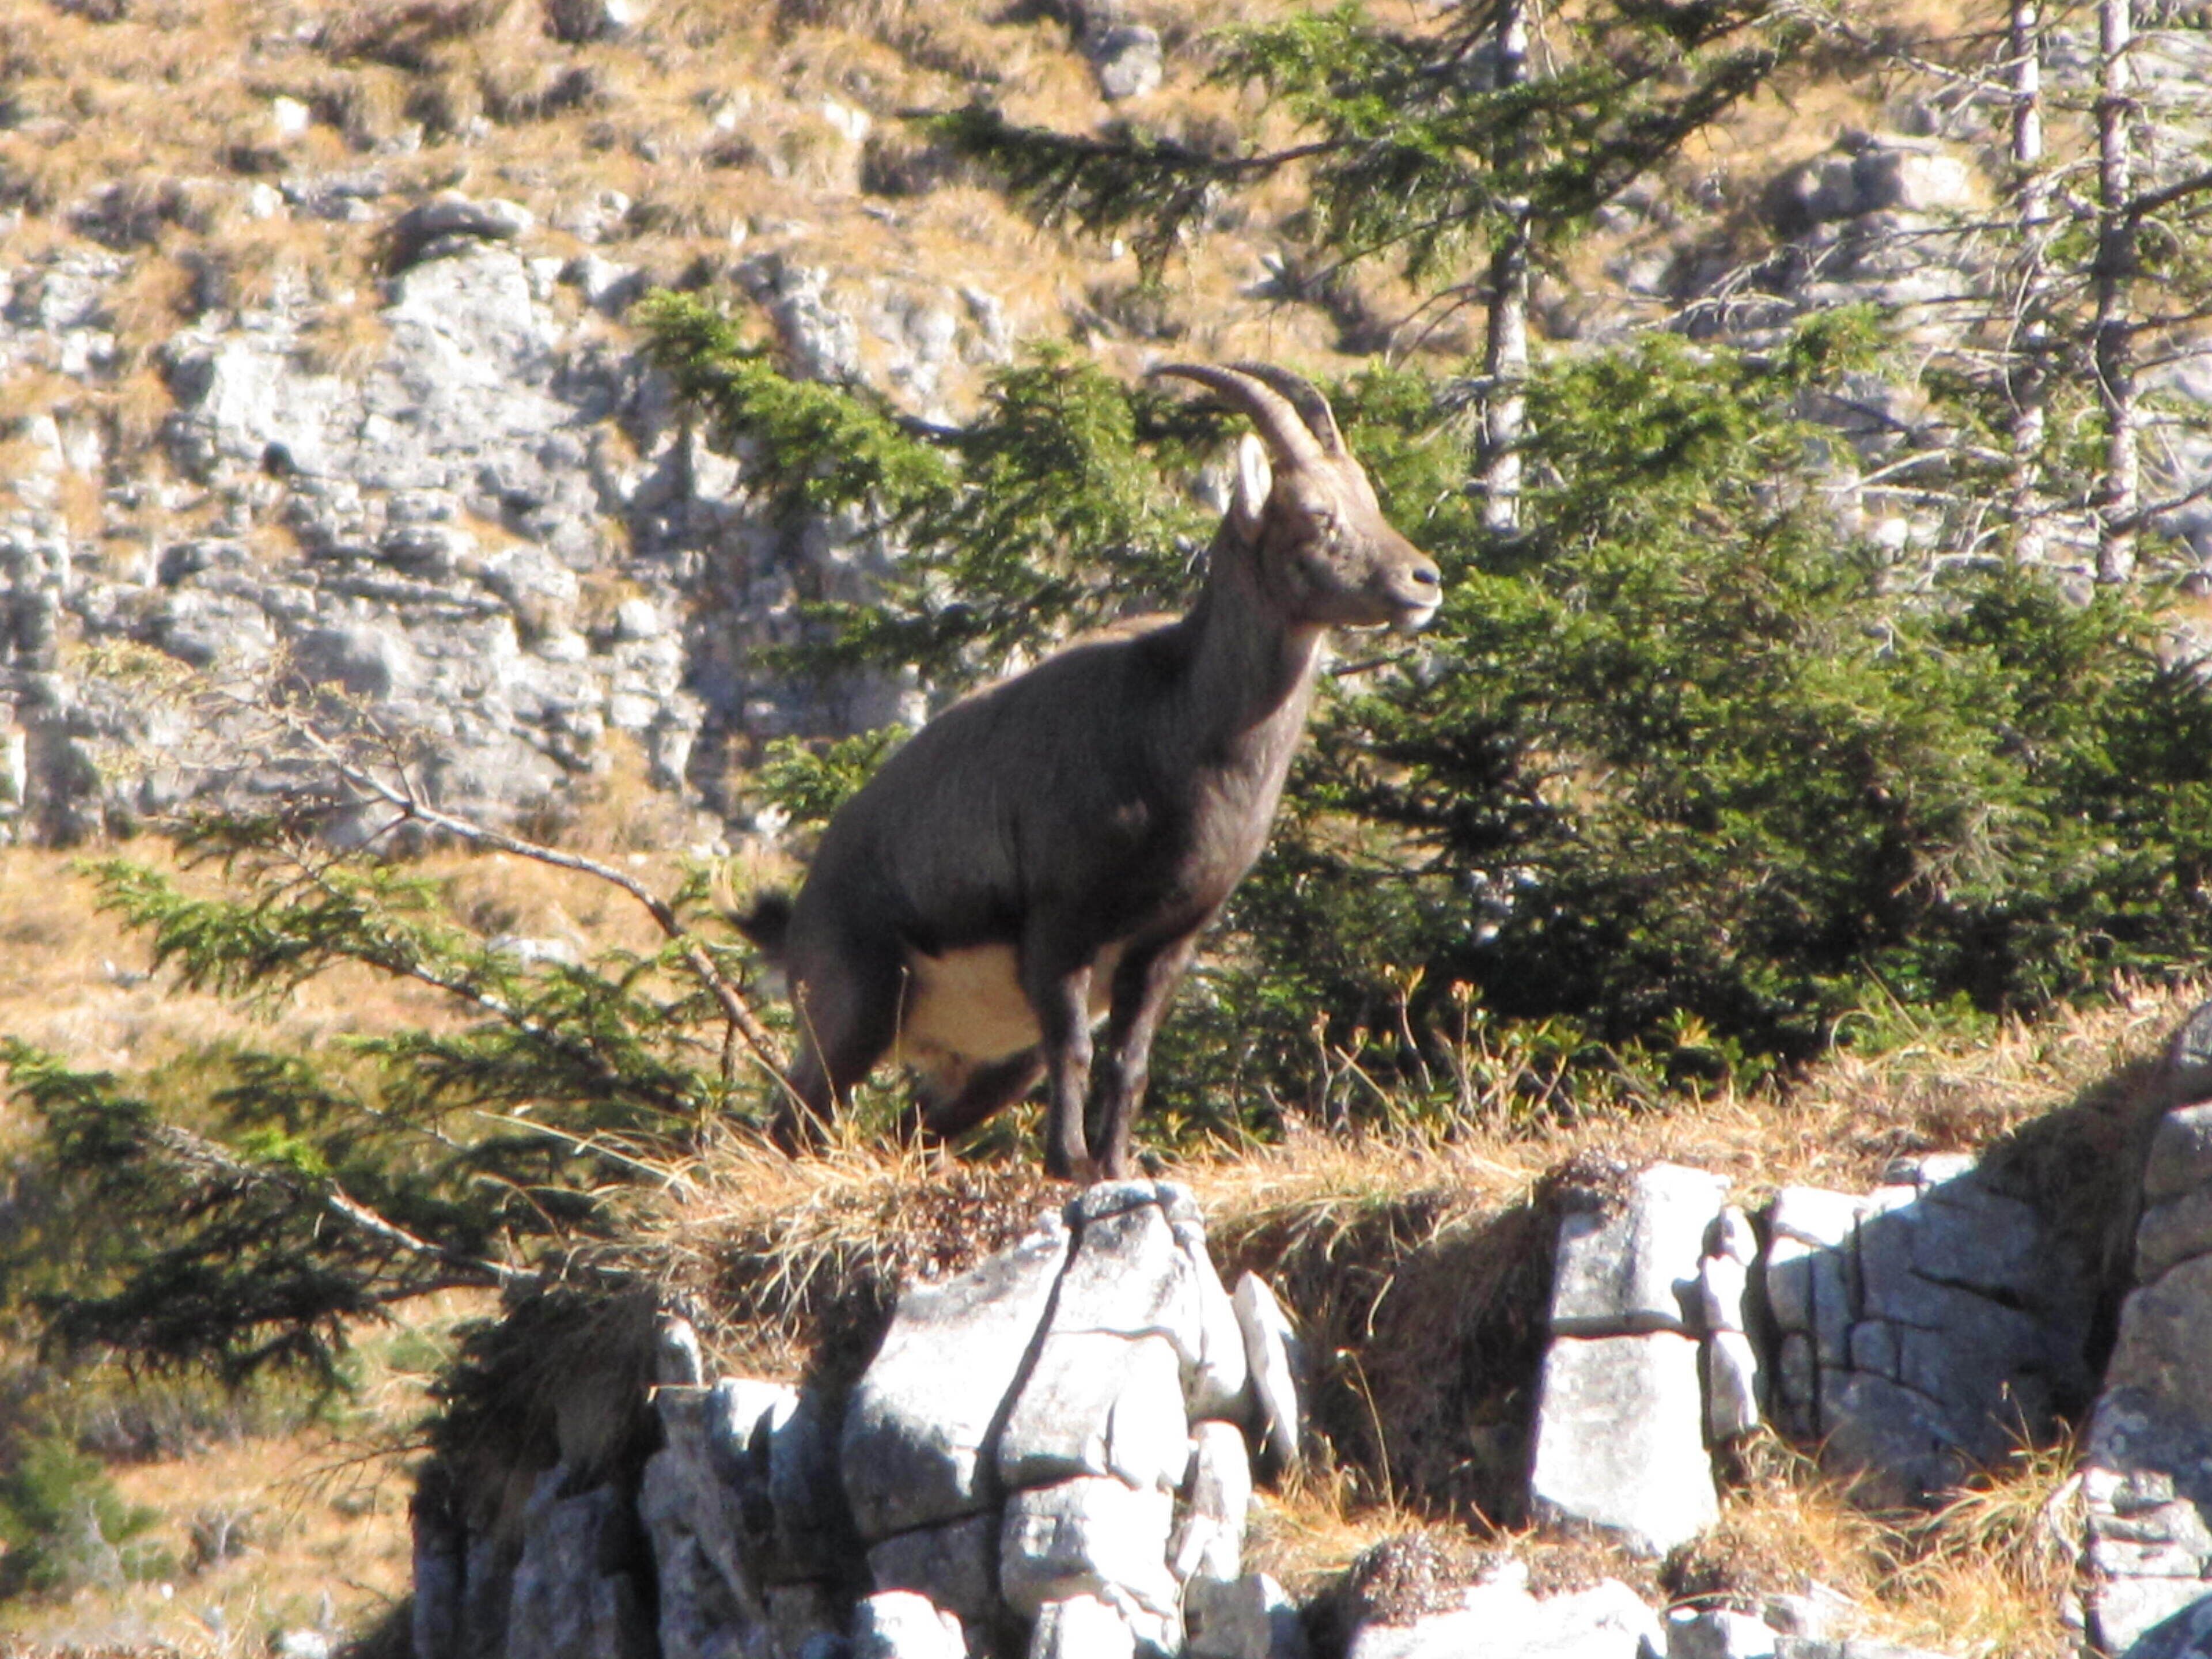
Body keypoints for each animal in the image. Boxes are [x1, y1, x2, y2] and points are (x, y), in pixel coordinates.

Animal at [741, 363, 1442, 1180]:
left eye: (1370, 499)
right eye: (1316, 514)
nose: (1423, 580)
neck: (1176, 724)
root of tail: (797, 915)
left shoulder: (1167, 942)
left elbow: (1129, 1062)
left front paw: (1116, 1167)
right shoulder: (1060, 925)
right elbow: (1075, 1047)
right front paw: (1069, 1164)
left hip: (990, 1062)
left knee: (905, 1128)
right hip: (856, 1005)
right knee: (792, 1123)